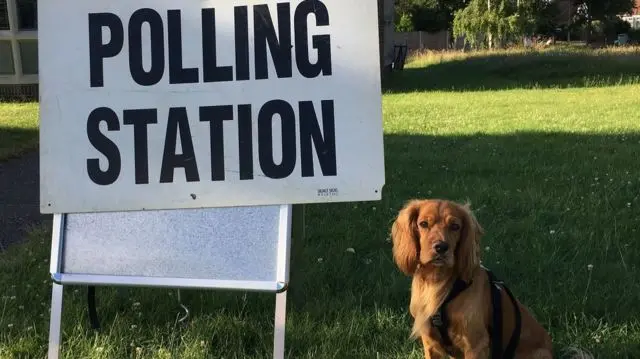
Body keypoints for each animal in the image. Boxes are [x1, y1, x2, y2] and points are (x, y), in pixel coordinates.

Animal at [390, 200, 556, 359]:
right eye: (423, 224)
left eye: (455, 226)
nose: (441, 247)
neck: (438, 282)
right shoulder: (430, 342)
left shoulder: (476, 344)